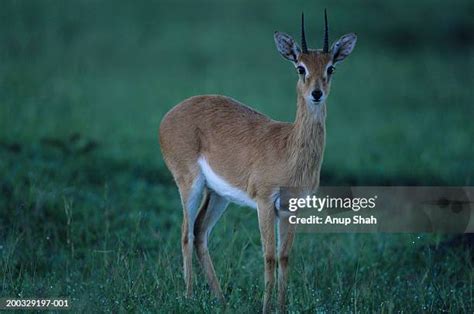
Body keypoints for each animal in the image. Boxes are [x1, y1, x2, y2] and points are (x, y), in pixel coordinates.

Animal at [159, 11, 356, 312]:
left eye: (331, 68)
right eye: (300, 67)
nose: (316, 93)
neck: (289, 150)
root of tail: (169, 115)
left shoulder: (290, 208)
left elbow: (285, 257)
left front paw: (282, 307)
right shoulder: (264, 202)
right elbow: (269, 256)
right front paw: (266, 308)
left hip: (219, 194)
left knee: (200, 231)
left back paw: (221, 299)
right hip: (189, 183)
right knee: (186, 233)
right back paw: (189, 296)